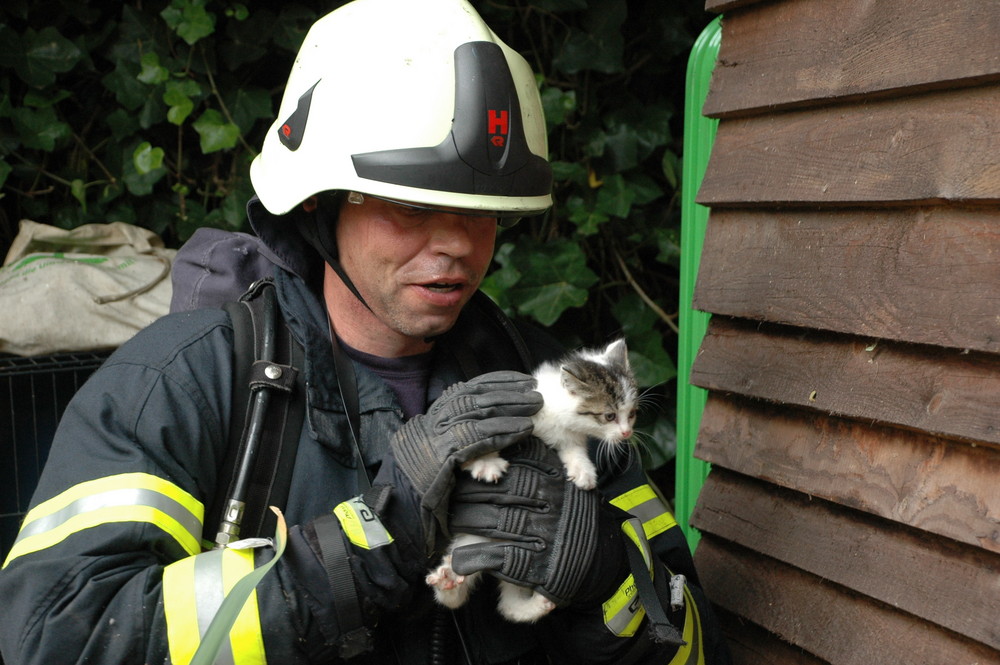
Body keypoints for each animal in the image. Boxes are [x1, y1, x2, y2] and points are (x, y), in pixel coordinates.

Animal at [426, 338, 636, 624]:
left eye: (632, 414)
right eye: (609, 416)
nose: (627, 433)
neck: (557, 416)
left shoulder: (569, 437)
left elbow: (573, 450)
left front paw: (583, 472)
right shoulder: (512, 417)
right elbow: (478, 441)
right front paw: (486, 463)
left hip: (497, 554)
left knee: (507, 603)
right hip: (475, 547)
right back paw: (448, 581)